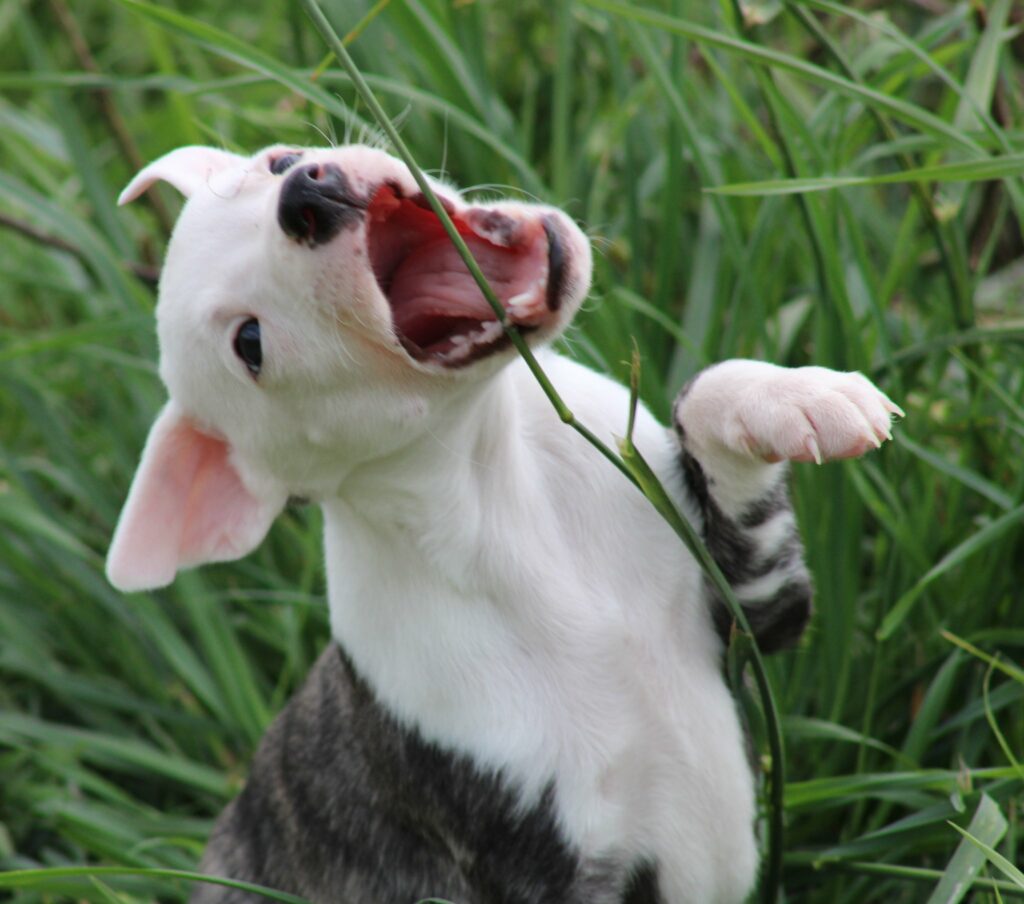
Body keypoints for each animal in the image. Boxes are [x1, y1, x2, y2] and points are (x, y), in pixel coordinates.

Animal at [108, 145, 901, 900]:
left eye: (274, 164)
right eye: (249, 345)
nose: (307, 194)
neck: (496, 488)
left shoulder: (754, 611)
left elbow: (708, 394)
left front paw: (797, 399)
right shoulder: (538, 864)